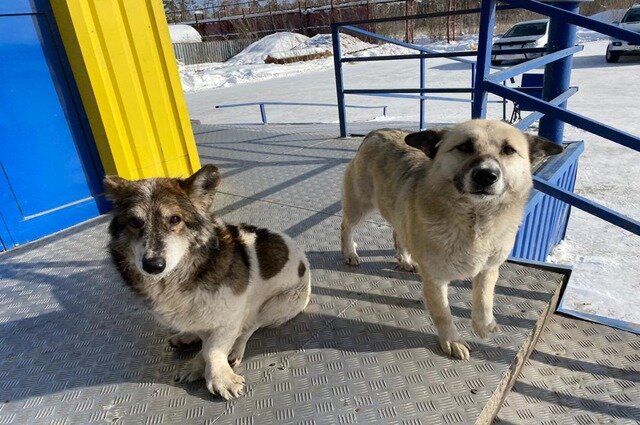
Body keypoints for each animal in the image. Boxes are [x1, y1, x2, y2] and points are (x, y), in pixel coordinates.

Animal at [340, 118, 560, 358]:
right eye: (464, 147)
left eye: (508, 150)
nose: (486, 175)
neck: (475, 219)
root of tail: (377, 132)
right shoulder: (435, 280)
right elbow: (443, 314)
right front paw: (452, 341)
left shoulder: (488, 268)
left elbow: (484, 299)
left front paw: (483, 324)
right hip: (360, 204)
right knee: (346, 226)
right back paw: (350, 252)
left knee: (398, 232)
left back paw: (405, 259)